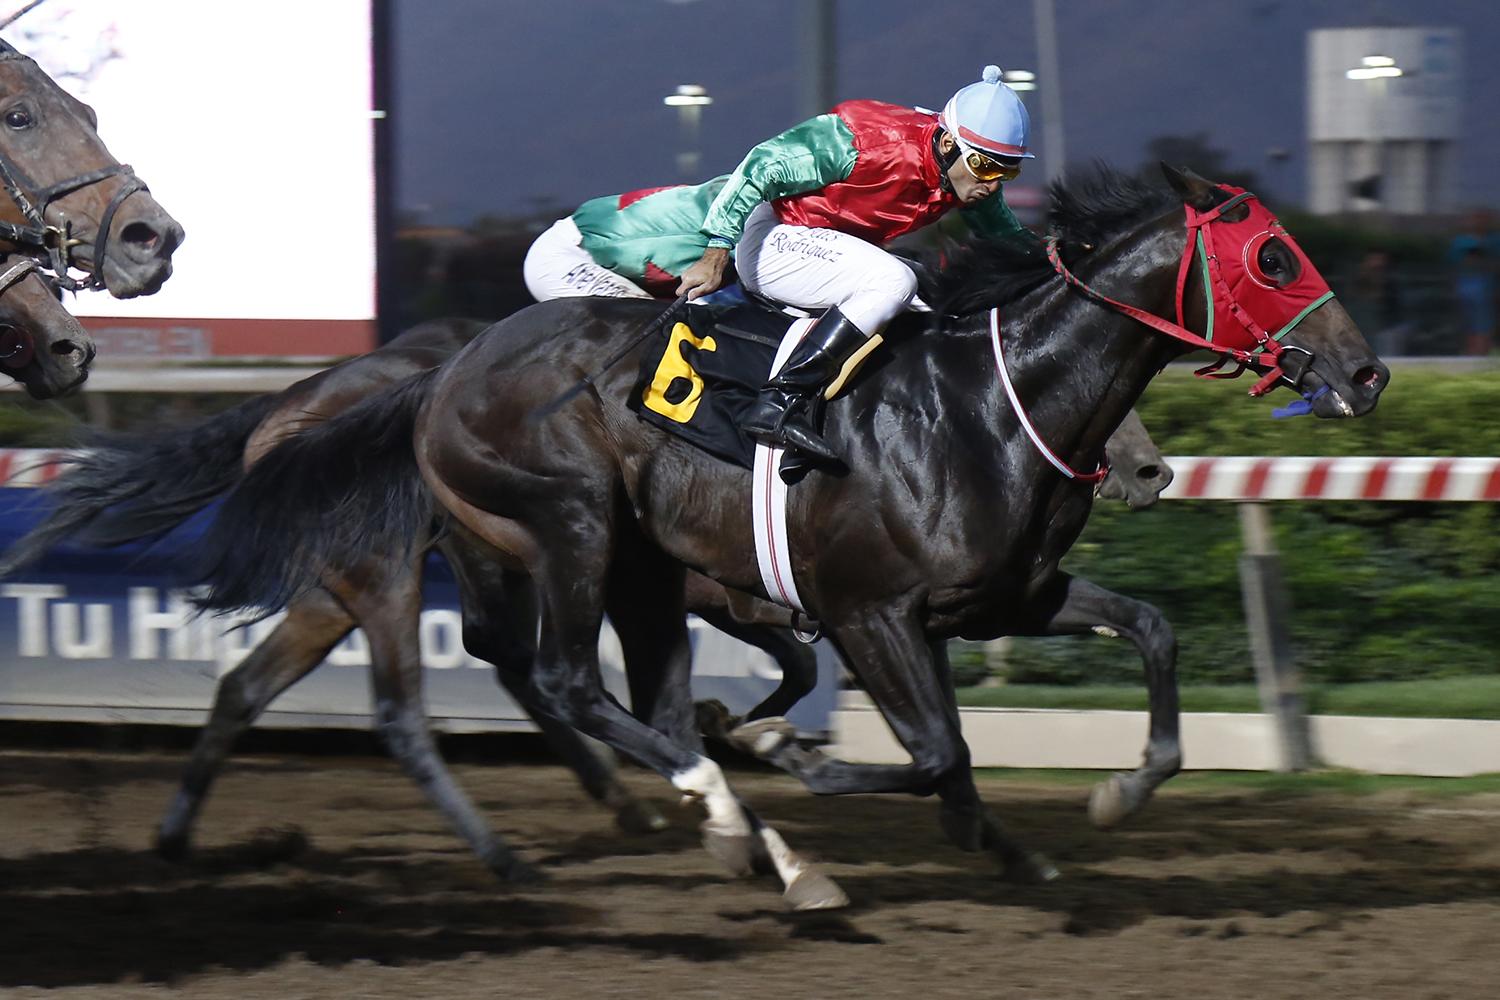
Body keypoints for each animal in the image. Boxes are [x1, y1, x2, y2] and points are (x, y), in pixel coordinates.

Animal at [0, 309, 1174, 880]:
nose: (1154, 469)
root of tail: (291, 407)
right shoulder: (766, 590)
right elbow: (844, 698)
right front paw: (751, 753)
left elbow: (863, 706)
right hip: (398, 571)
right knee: (422, 701)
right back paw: (523, 843)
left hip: (356, 586)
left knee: (256, 686)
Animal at [191, 166, 1388, 910]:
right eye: (1275, 260)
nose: (1367, 371)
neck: (991, 408)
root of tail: (444, 369)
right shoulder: (868, 610)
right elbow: (934, 750)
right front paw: (787, 754)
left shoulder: (998, 600)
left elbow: (1146, 634)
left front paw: (1106, 799)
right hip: (567, 523)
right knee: (565, 680)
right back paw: (726, 816)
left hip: (637, 571)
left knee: (624, 696)